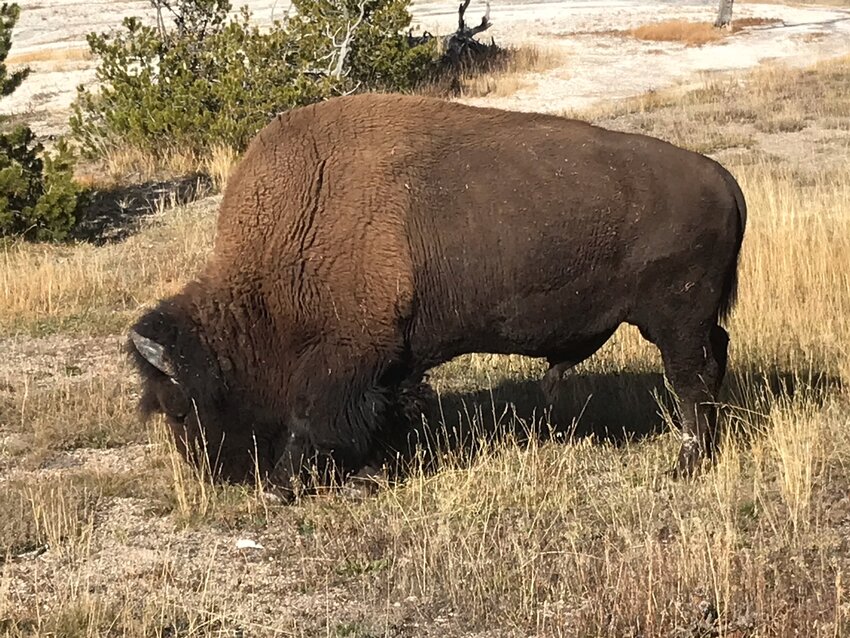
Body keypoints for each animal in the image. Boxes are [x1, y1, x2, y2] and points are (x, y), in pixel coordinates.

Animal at [129, 94, 744, 496]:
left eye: (181, 408)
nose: (212, 474)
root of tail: (724, 179)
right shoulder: (390, 360)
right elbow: (384, 412)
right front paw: (369, 473)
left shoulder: (345, 361)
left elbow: (316, 419)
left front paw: (287, 485)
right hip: (689, 319)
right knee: (713, 361)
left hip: (675, 318)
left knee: (689, 379)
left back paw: (685, 465)